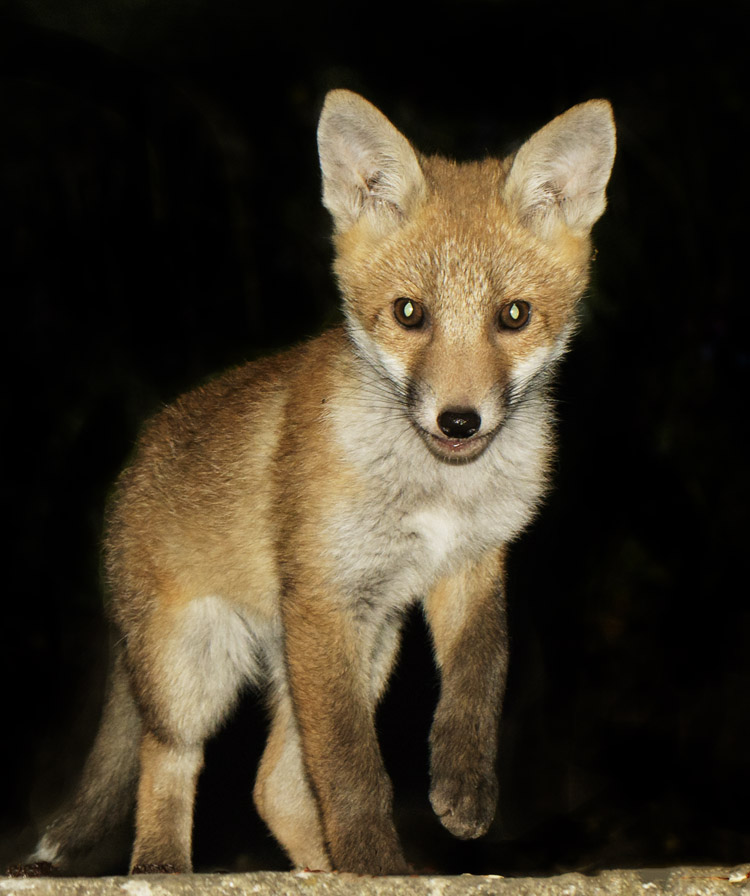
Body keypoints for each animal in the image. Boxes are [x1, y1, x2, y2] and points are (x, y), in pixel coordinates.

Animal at [18, 89, 615, 877]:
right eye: (409, 313)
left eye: (513, 316)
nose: (459, 421)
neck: (438, 492)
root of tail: (138, 458)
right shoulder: (324, 597)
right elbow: (354, 772)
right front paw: (378, 870)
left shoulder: (469, 567)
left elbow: (480, 678)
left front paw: (461, 788)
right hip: (198, 665)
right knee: (170, 758)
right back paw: (160, 868)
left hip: (364, 646)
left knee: (272, 787)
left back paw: (317, 868)